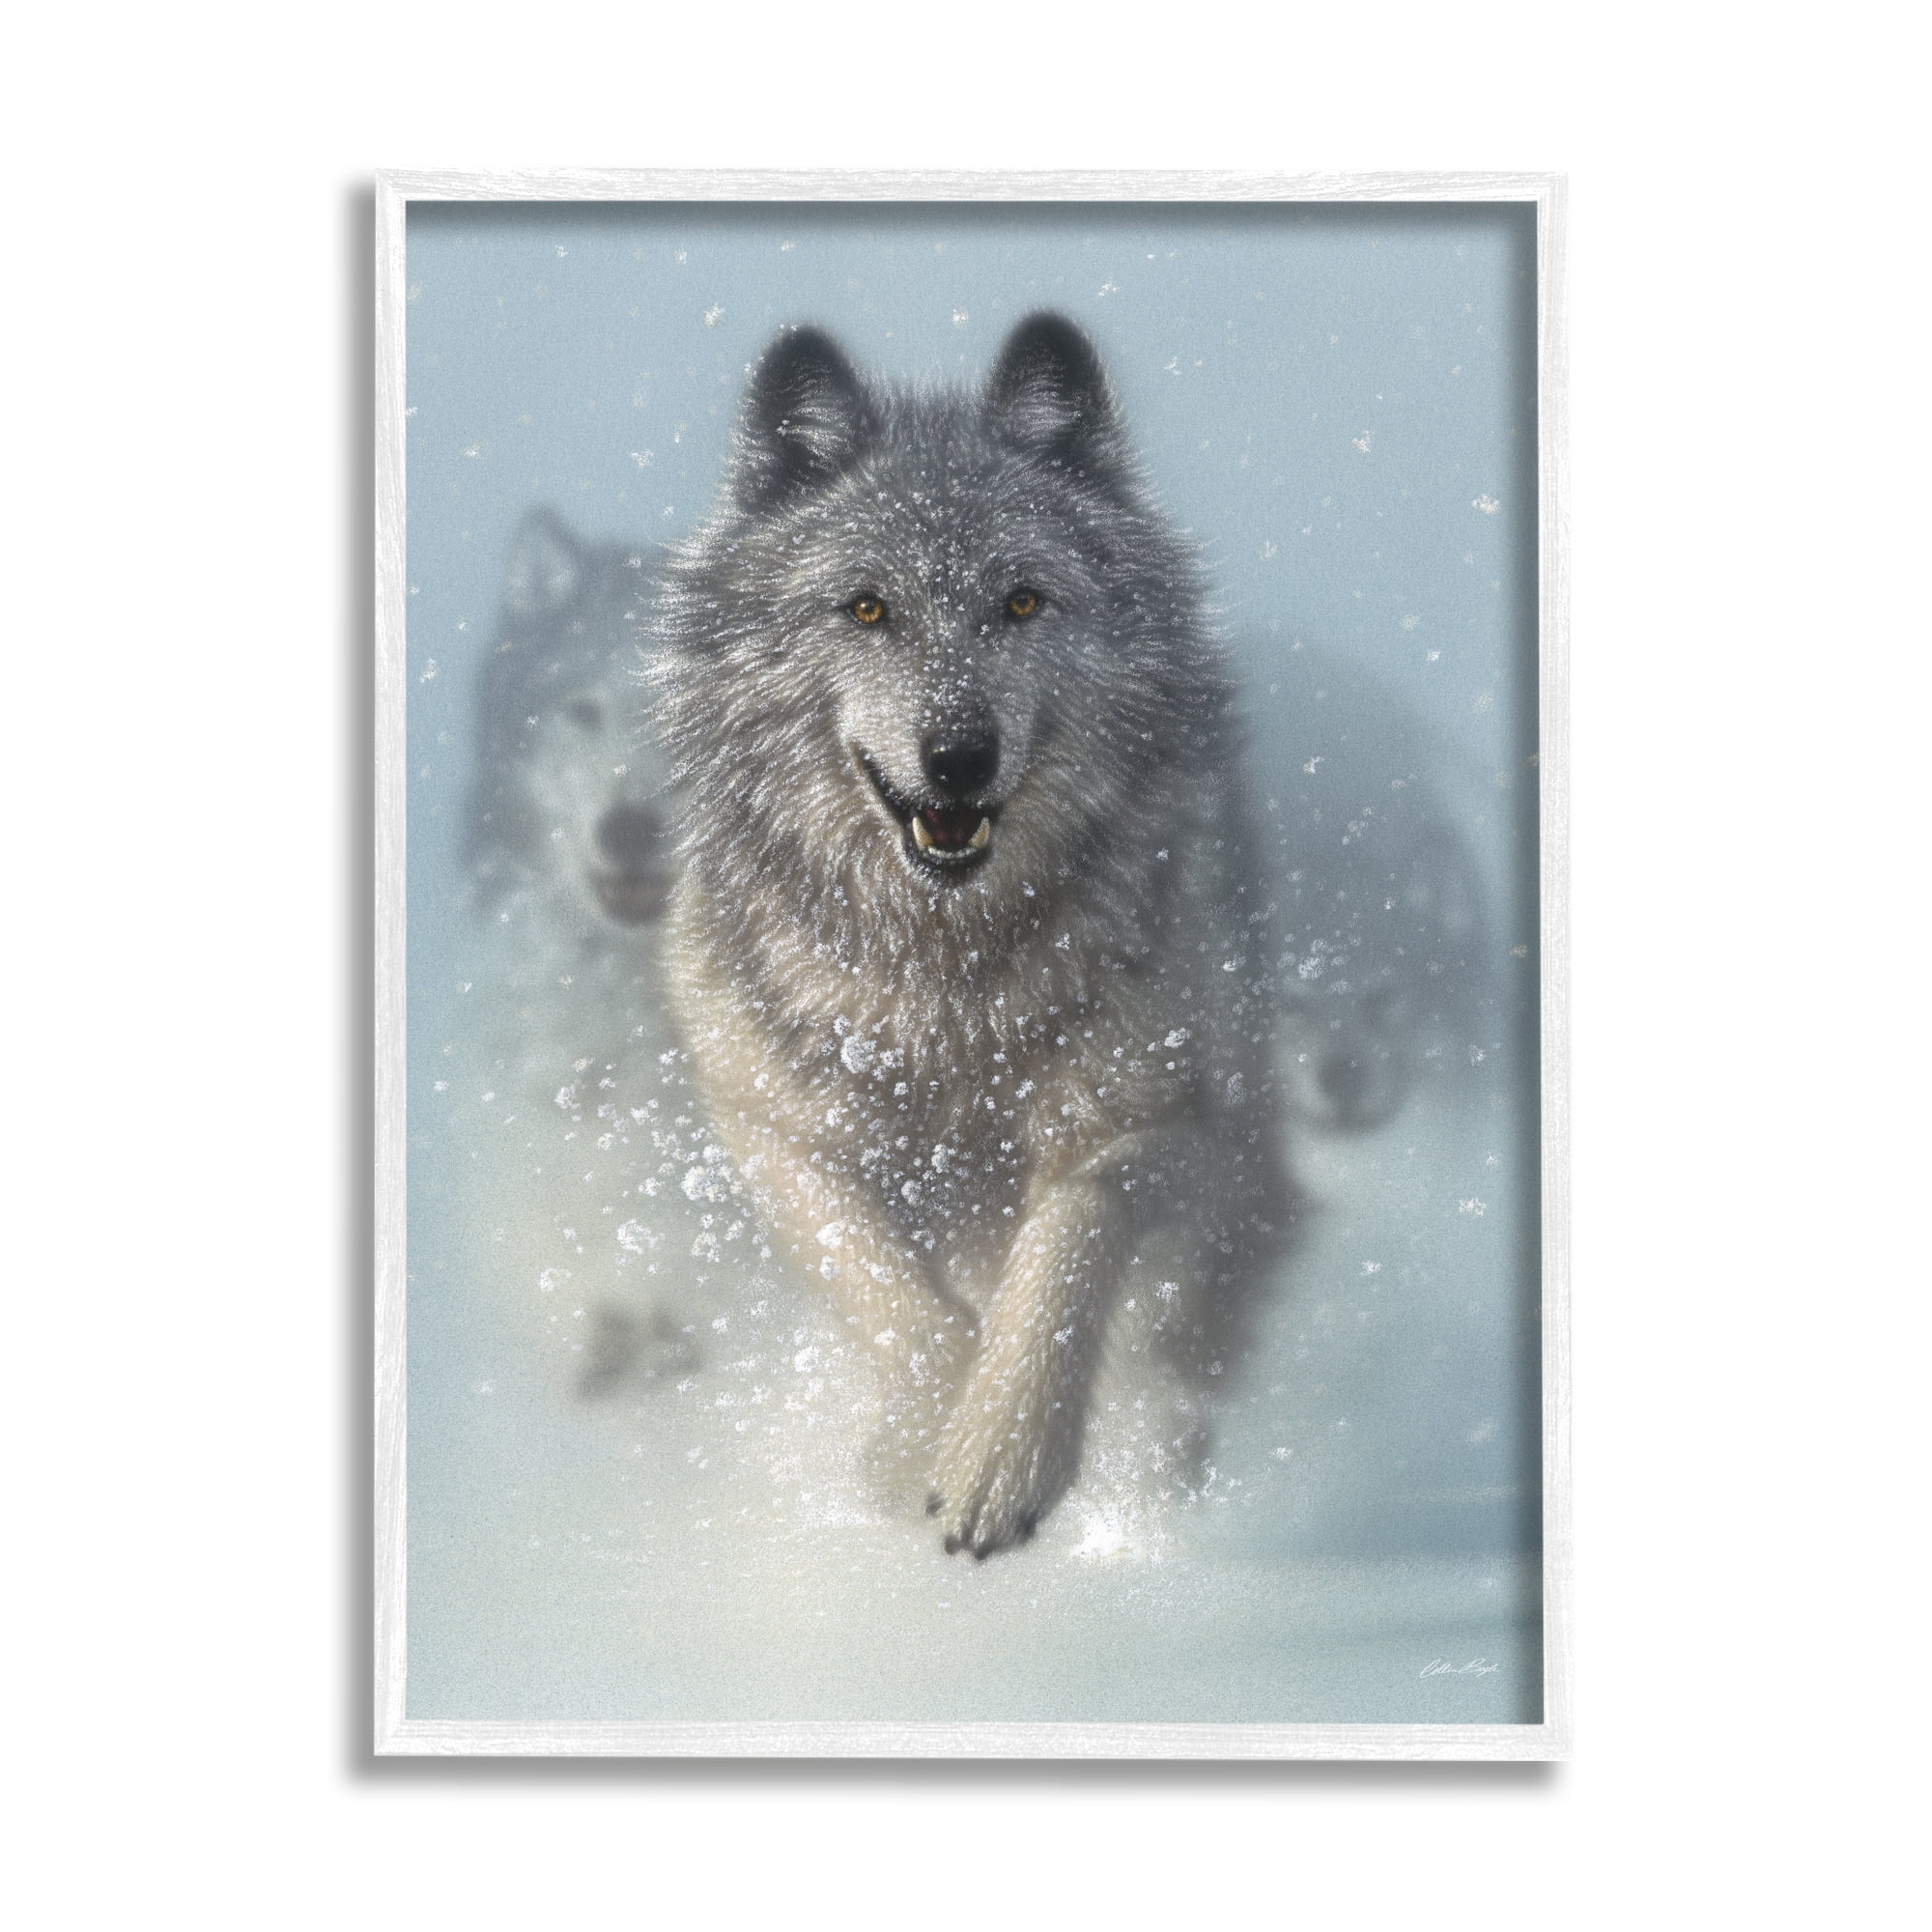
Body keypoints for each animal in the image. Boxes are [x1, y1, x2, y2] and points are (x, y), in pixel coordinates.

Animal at [653, 314, 1290, 1556]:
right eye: (865, 609)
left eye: (1022, 603)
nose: (957, 756)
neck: (941, 987)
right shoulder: (766, 1130)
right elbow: (885, 1286)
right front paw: (922, 1437)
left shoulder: (1180, 1127)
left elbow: (1069, 1234)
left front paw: (1000, 1451)